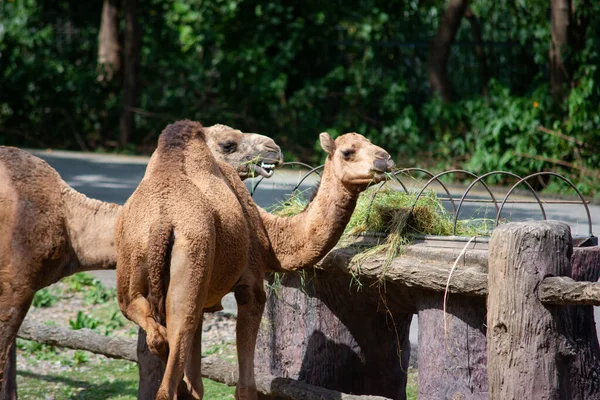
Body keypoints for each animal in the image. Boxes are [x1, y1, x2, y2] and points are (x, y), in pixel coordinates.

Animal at [124, 121, 394, 396]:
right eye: (348, 152)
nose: (385, 159)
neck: (268, 234)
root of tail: (161, 224)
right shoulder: (251, 286)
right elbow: (245, 385)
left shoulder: (203, 300)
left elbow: (197, 381)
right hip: (189, 273)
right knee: (168, 368)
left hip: (136, 272)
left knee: (150, 328)